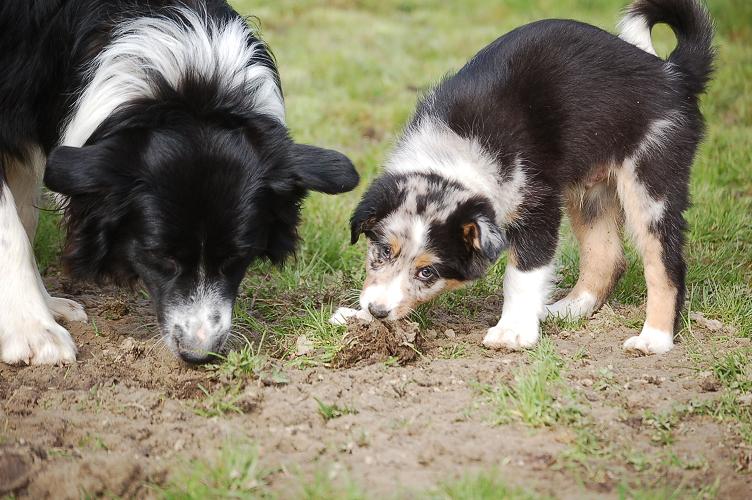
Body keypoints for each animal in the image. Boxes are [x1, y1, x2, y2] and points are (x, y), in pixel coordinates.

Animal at [0, 0, 358, 368]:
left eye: (238, 256)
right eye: (160, 255)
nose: (198, 355)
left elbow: (27, 217)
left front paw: (45, 306)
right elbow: (12, 229)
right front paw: (33, 331)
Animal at [332, 0, 712, 356]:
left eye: (428, 272)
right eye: (383, 251)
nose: (378, 311)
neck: (458, 159)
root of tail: (671, 72)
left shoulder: (538, 205)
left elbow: (522, 274)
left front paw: (512, 332)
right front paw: (359, 318)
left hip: (651, 177)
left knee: (666, 262)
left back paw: (654, 339)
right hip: (590, 190)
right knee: (608, 257)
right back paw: (567, 309)